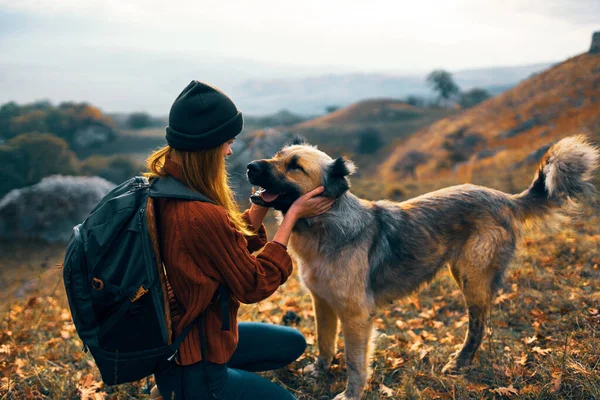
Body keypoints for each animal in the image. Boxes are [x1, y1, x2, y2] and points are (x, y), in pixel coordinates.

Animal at [246, 135, 596, 400]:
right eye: (277, 156)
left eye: (295, 166)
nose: (250, 167)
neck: (325, 222)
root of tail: (505, 198)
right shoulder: (322, 302)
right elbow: (324, 341)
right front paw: (319, 371)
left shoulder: (356, 315)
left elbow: (355, 362)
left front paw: (351, 394)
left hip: (472, 277)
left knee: (479, 324)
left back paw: (460, 362)